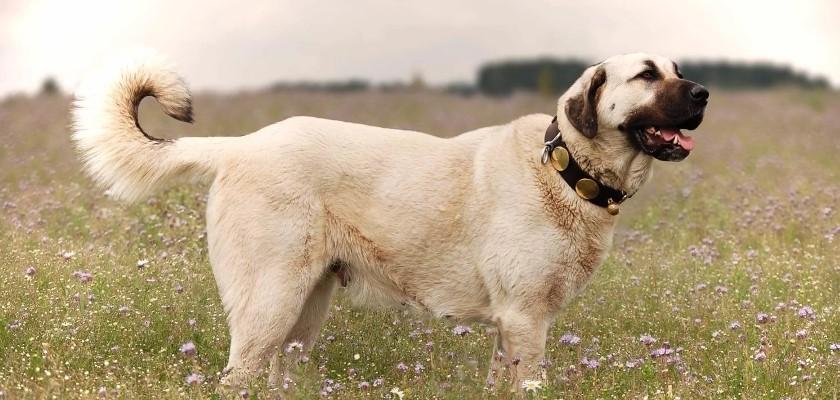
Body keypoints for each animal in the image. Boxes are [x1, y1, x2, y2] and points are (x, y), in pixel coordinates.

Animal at [70, 51, 708, 390]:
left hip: (302, 313)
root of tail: (241, 146)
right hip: (268, 304)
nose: (703, 92)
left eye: (676, 68)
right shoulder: (526, 318)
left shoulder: (513, 324)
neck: (565, 169)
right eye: (647, 75)